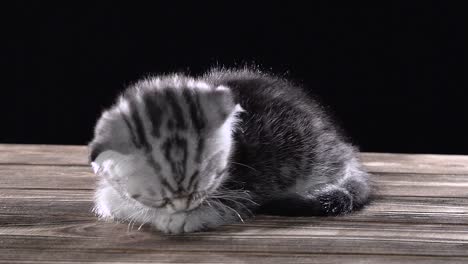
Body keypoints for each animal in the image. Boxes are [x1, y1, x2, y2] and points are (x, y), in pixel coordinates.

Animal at [89, 67, 372, 233]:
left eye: (209, 172)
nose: (185, 202)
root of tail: (345, 149)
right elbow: (112, 200)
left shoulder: (251, 182)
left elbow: (234, 201)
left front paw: (185, 218)